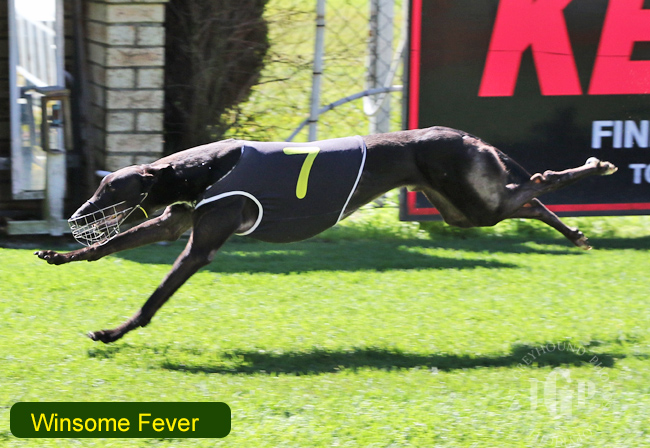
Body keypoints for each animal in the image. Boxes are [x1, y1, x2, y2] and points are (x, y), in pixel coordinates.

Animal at [35, 127, 617, 343]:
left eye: (109, 190)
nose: (77, 213)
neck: (206, 167)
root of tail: (467, 137)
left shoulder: (201, 244)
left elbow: (154, 298)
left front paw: (113, 332)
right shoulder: (178, 218)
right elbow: (107, 246)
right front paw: (61, 255)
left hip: (475, 202)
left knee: (538, 184)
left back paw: (595, 168)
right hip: (462, 210)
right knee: (531, 197)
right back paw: (575, 231)